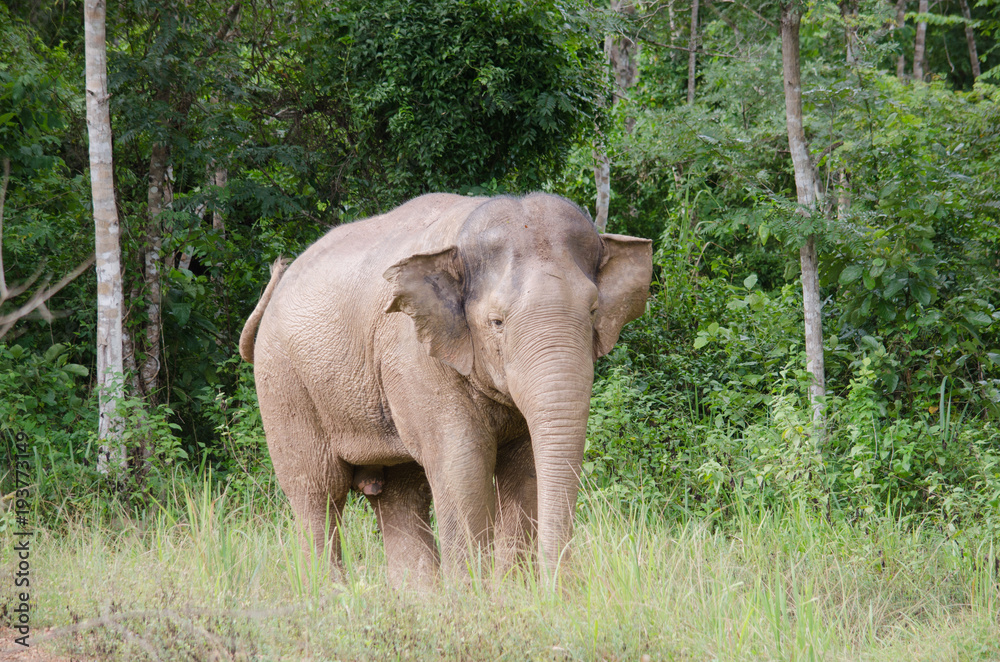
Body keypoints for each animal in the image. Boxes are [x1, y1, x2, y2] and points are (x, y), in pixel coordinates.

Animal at [238, 191, 652, 588]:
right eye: (497, 322)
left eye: (594, 312)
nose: (561, 590)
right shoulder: (417, 358)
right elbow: (462, 466)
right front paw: (476, 599)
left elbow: (525, 468)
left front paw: (513, 595)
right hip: (284, 385)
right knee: (318, 494)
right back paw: (330, 596)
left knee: (400, 494)